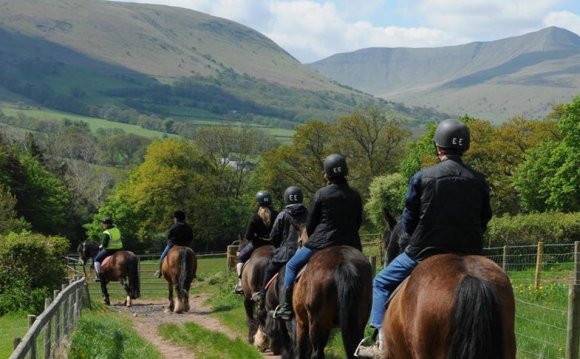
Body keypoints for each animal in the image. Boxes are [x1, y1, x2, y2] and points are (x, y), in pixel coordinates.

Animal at [290, 226, 372, 358]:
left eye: (299, 242)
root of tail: (344, 262)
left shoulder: (301, 322)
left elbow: (300, 351)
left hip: (316, 324)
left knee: (317, 353)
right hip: (359, 321)